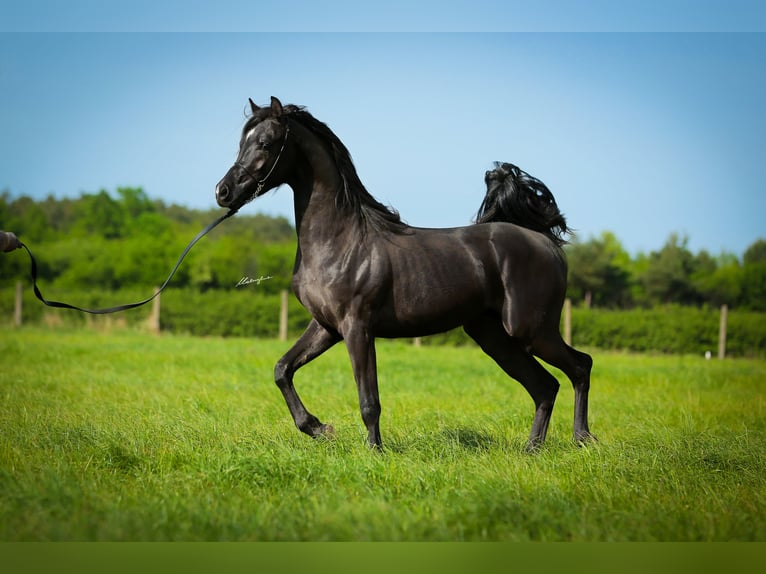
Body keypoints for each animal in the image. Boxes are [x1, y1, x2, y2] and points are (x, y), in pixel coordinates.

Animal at [215, 97, 595, 451]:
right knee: (545, 386)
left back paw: (583, 439)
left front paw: (374, 452)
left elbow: (369, 401)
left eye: (265, 143)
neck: (339, 238)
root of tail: (544, 240)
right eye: (242, 142)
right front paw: (319, 428)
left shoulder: (357, 327)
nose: (223, 191)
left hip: (531, 330)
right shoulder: (326, 326)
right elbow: (283, 369)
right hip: (494, 337)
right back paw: (532, 450)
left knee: (580, 366)